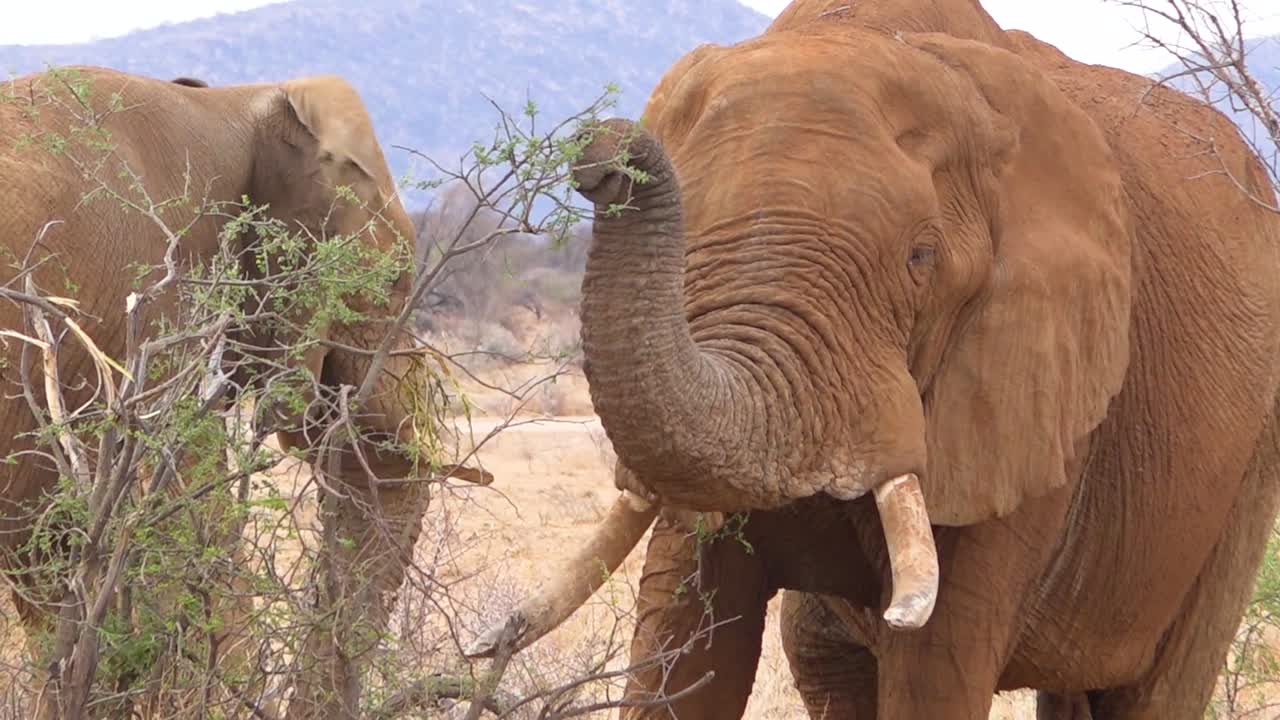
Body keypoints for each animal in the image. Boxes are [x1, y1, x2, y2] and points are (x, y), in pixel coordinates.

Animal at [466, 0, 1280, 718]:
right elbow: (686, 639)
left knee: (1157, 689)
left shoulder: (1023, 395)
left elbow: (934, 666)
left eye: (921, 259)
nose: (603, 154)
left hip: (1247, 466)